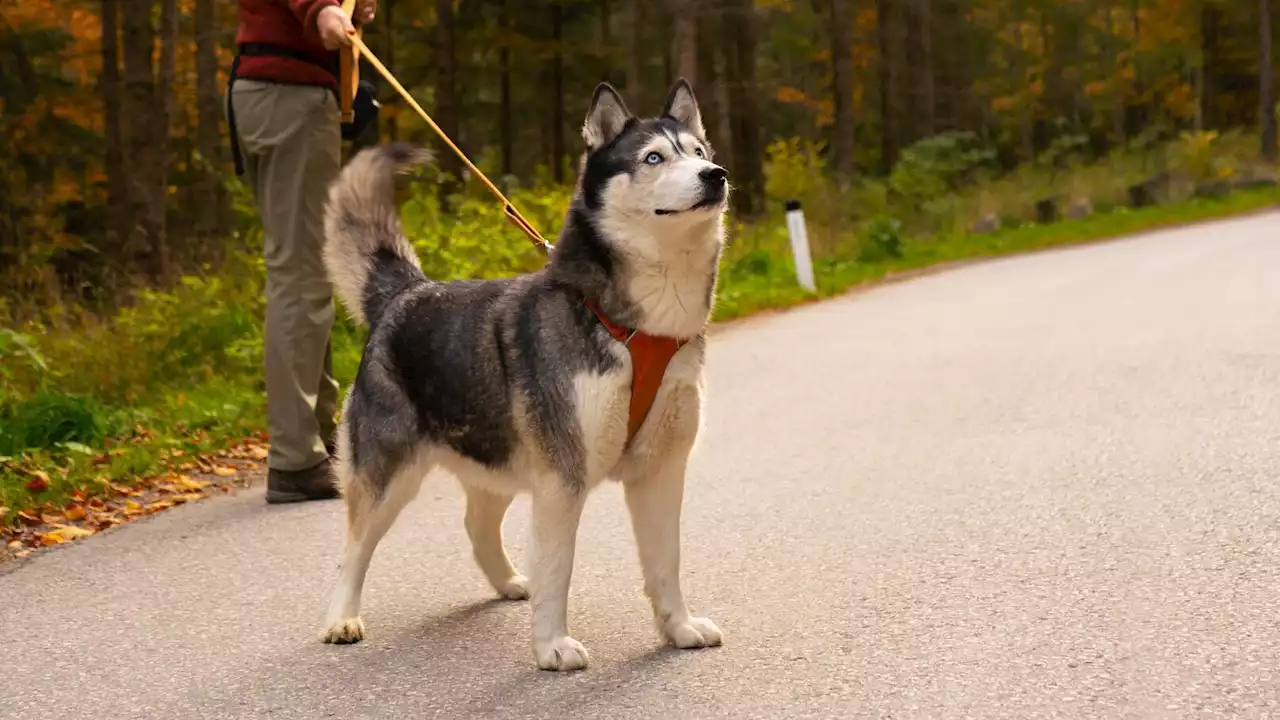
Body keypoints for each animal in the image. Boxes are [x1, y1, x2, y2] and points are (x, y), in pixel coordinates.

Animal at [317, 77, 732, 666]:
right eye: (654, 158)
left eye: (698, 152)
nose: (715, 175)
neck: (639, 327)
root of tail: (407, 291)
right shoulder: (562, 477)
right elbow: (558, 566)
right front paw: (552, 644)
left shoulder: (661, 471)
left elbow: (666, 562)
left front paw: (678, 628)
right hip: (388, 475)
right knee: (354, 545)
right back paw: (342, 617)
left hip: (499, 455)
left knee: (476, 523)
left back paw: (511, 581)